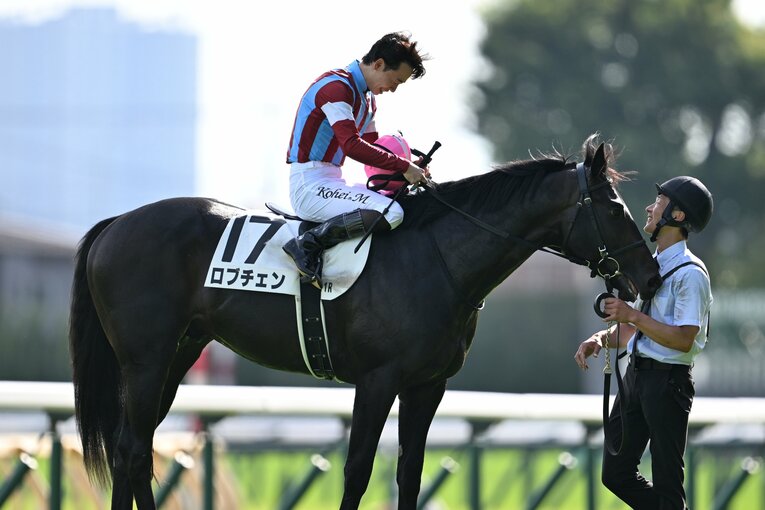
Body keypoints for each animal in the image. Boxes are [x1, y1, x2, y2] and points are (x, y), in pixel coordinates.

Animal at [69, 135, 662, 509]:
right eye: (614, 208)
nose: (651, 275)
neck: (438, 260)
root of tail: (116, 223)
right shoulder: (377, 381)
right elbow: (357, 470)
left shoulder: (427, 385)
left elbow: (409, 472)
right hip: (145, 361)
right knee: (131, 449)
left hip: (177, 354)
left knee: (131, 447)